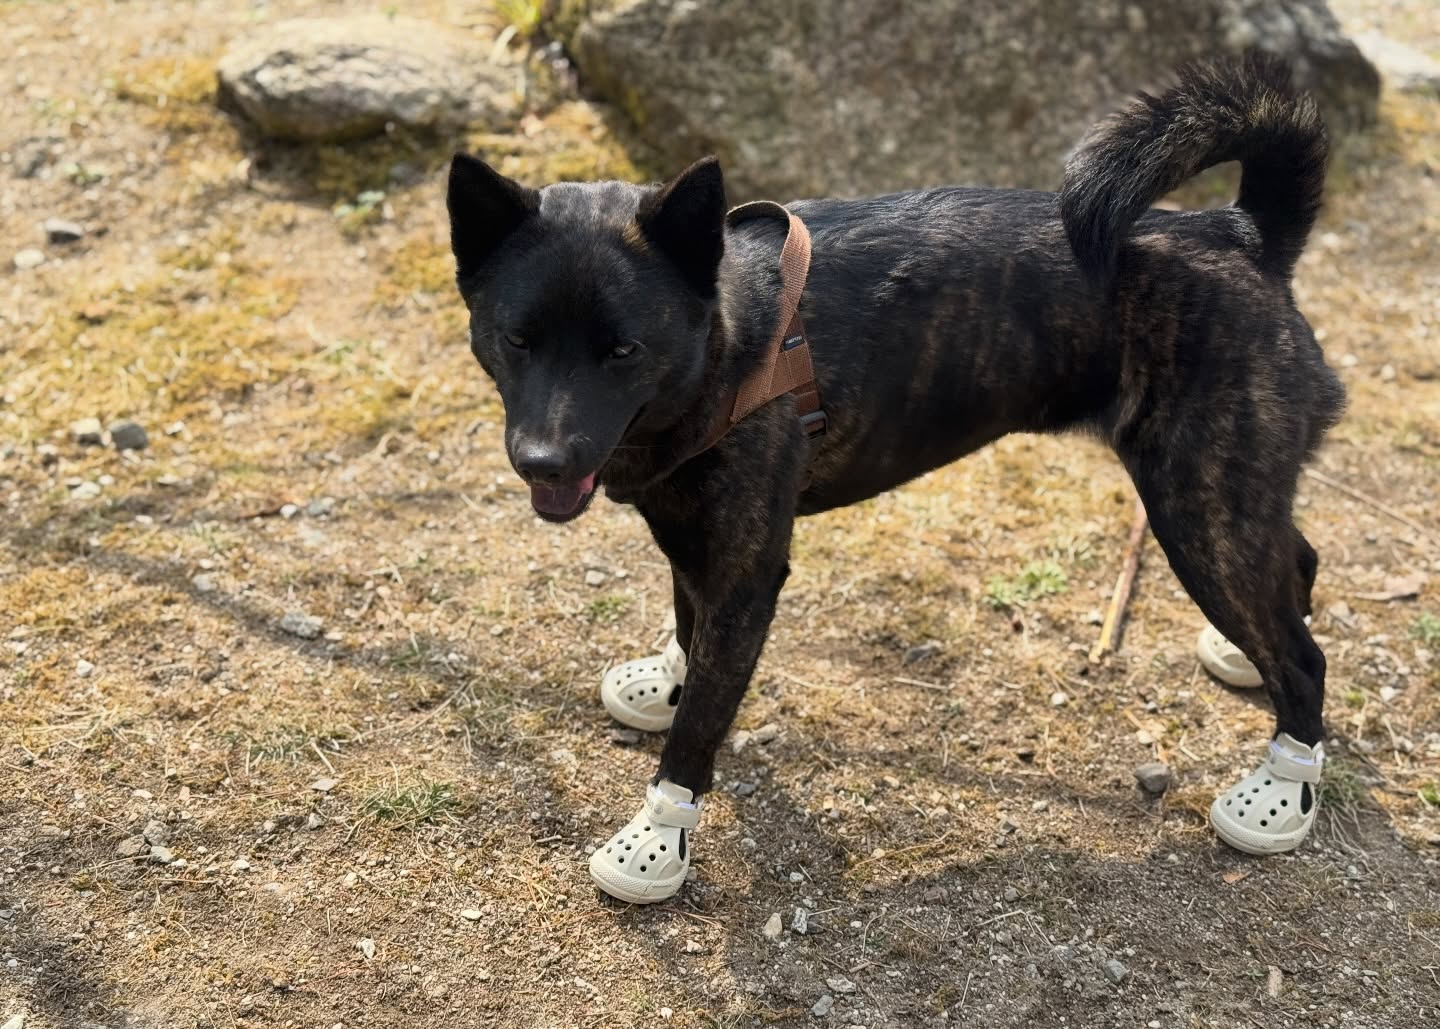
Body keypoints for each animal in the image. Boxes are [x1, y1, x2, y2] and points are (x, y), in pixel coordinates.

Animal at [446, 53, 1344, 903]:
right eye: (517, 338)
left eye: (622, 349)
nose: (543, 460)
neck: (730, 339)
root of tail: (1239, 231)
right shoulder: (693, 536)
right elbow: (687, 628)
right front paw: (666, 678)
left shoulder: (748, 576)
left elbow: (699, 726)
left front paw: (658, 834)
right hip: (1228, 497)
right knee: (1295, 563)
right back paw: (1251, 664)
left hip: (1198, 511)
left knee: (1304, 659)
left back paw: (1281, 783)